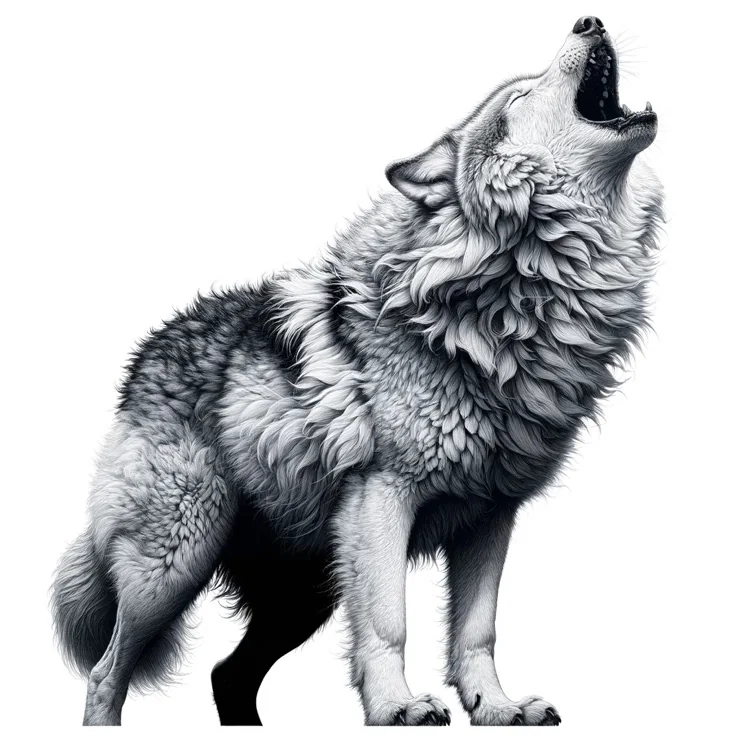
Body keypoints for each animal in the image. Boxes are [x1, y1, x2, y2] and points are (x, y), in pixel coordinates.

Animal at [51, 15, 663, 727]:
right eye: (522, 94)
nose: (589, 20)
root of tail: (144, 356)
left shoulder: (492, 515)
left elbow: (476, 630)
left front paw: (496, 709)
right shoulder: (383, 498)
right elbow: (389, 622)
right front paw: (399, 708)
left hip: (302, 593)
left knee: (227, 675)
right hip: (175, 563)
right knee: (105, 674)